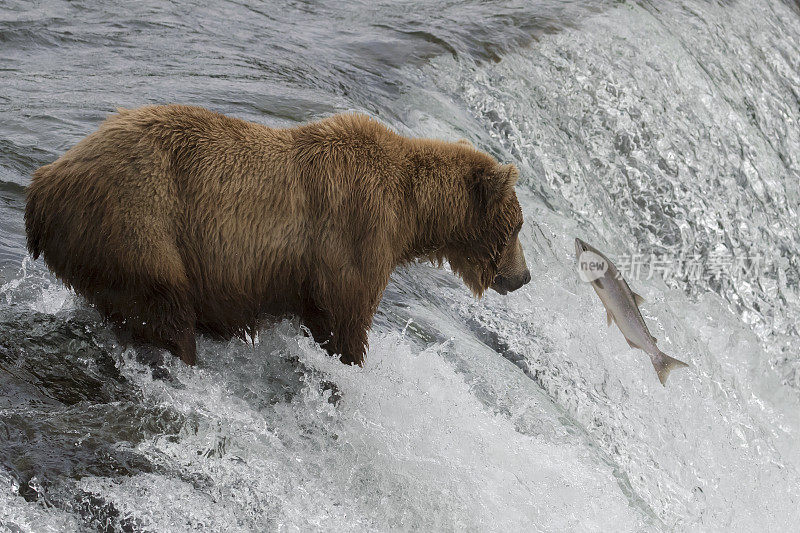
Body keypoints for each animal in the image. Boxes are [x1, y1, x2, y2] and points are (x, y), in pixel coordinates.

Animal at [23, 106, 532, 368]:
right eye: (519, 225)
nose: (523, 276)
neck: (410, 212)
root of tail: (42, 184)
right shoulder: (354, 234)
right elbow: (347, 320)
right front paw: (349, 362)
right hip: (137, 223)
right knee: (166, 312)